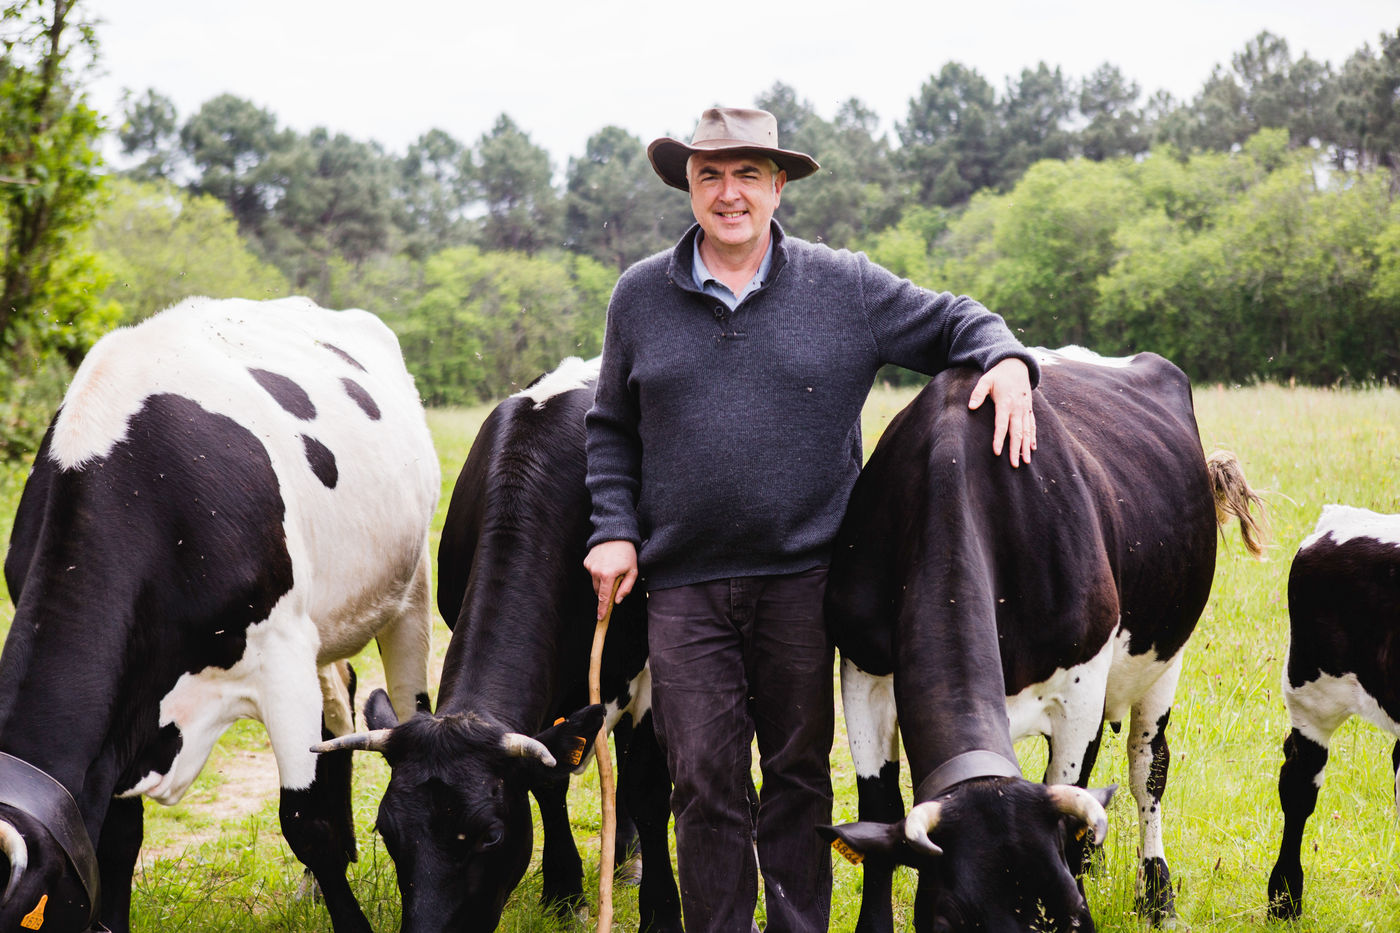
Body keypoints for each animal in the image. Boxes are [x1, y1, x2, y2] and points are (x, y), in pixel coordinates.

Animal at [0, 296, 439, 933]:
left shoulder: (281, 657)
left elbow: (307, 825)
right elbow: (117, 842)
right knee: (340, 698)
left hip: (408, 587)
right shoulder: (126, 718)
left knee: (408, 703)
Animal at [317, 356, 681, 933]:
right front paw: (564, 891)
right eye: (388, 833)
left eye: (490, 836)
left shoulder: (646, 671)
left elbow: (648, 789)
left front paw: (661, 913)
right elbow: (548, 782)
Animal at [819, 348, 1265, 933]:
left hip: (1165, 663)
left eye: (1075, 915)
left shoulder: (1080, 689)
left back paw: (1157, 895)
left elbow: (1078, 799)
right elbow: (878, 812)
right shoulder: (862, 672)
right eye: (948, 920)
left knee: (1148, 769)